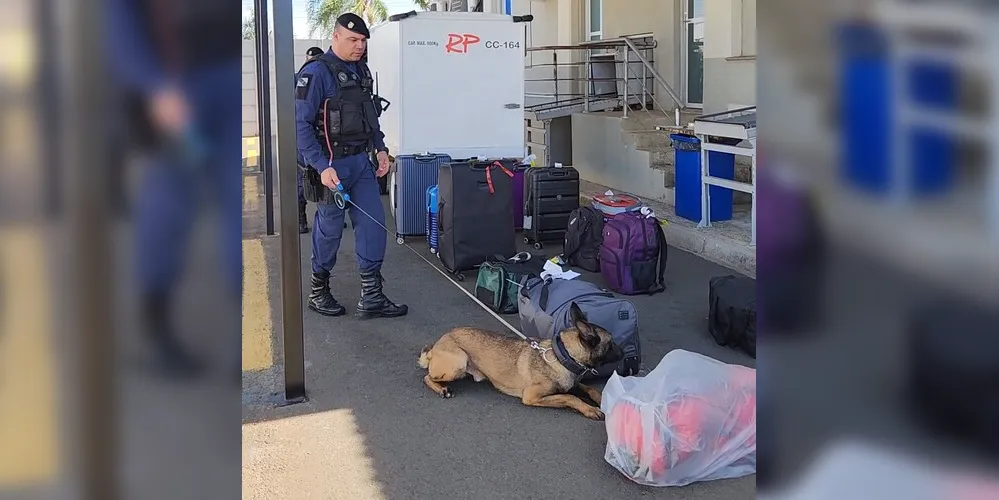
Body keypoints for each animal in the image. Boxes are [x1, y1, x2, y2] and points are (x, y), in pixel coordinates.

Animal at [416, 302, 620, 420]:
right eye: (611, 344)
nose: (624, 352)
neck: (562, 355)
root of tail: (436, 345)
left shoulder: (572, 383)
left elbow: (589, 389)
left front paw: (601, 398)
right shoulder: (532, 397)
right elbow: (570, 397)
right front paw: (589, 409)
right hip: (458, 363)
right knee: (427, 378)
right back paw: (442, 389)